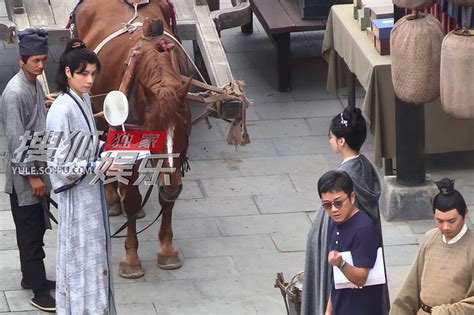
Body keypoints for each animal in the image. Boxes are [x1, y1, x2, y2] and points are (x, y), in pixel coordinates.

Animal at [73, 0, 191, 278]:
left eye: (183, 131)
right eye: (154, 136)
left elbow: (166, 196)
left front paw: (167, 249)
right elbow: (133, 198)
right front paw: (131, 258)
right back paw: (113, 198)